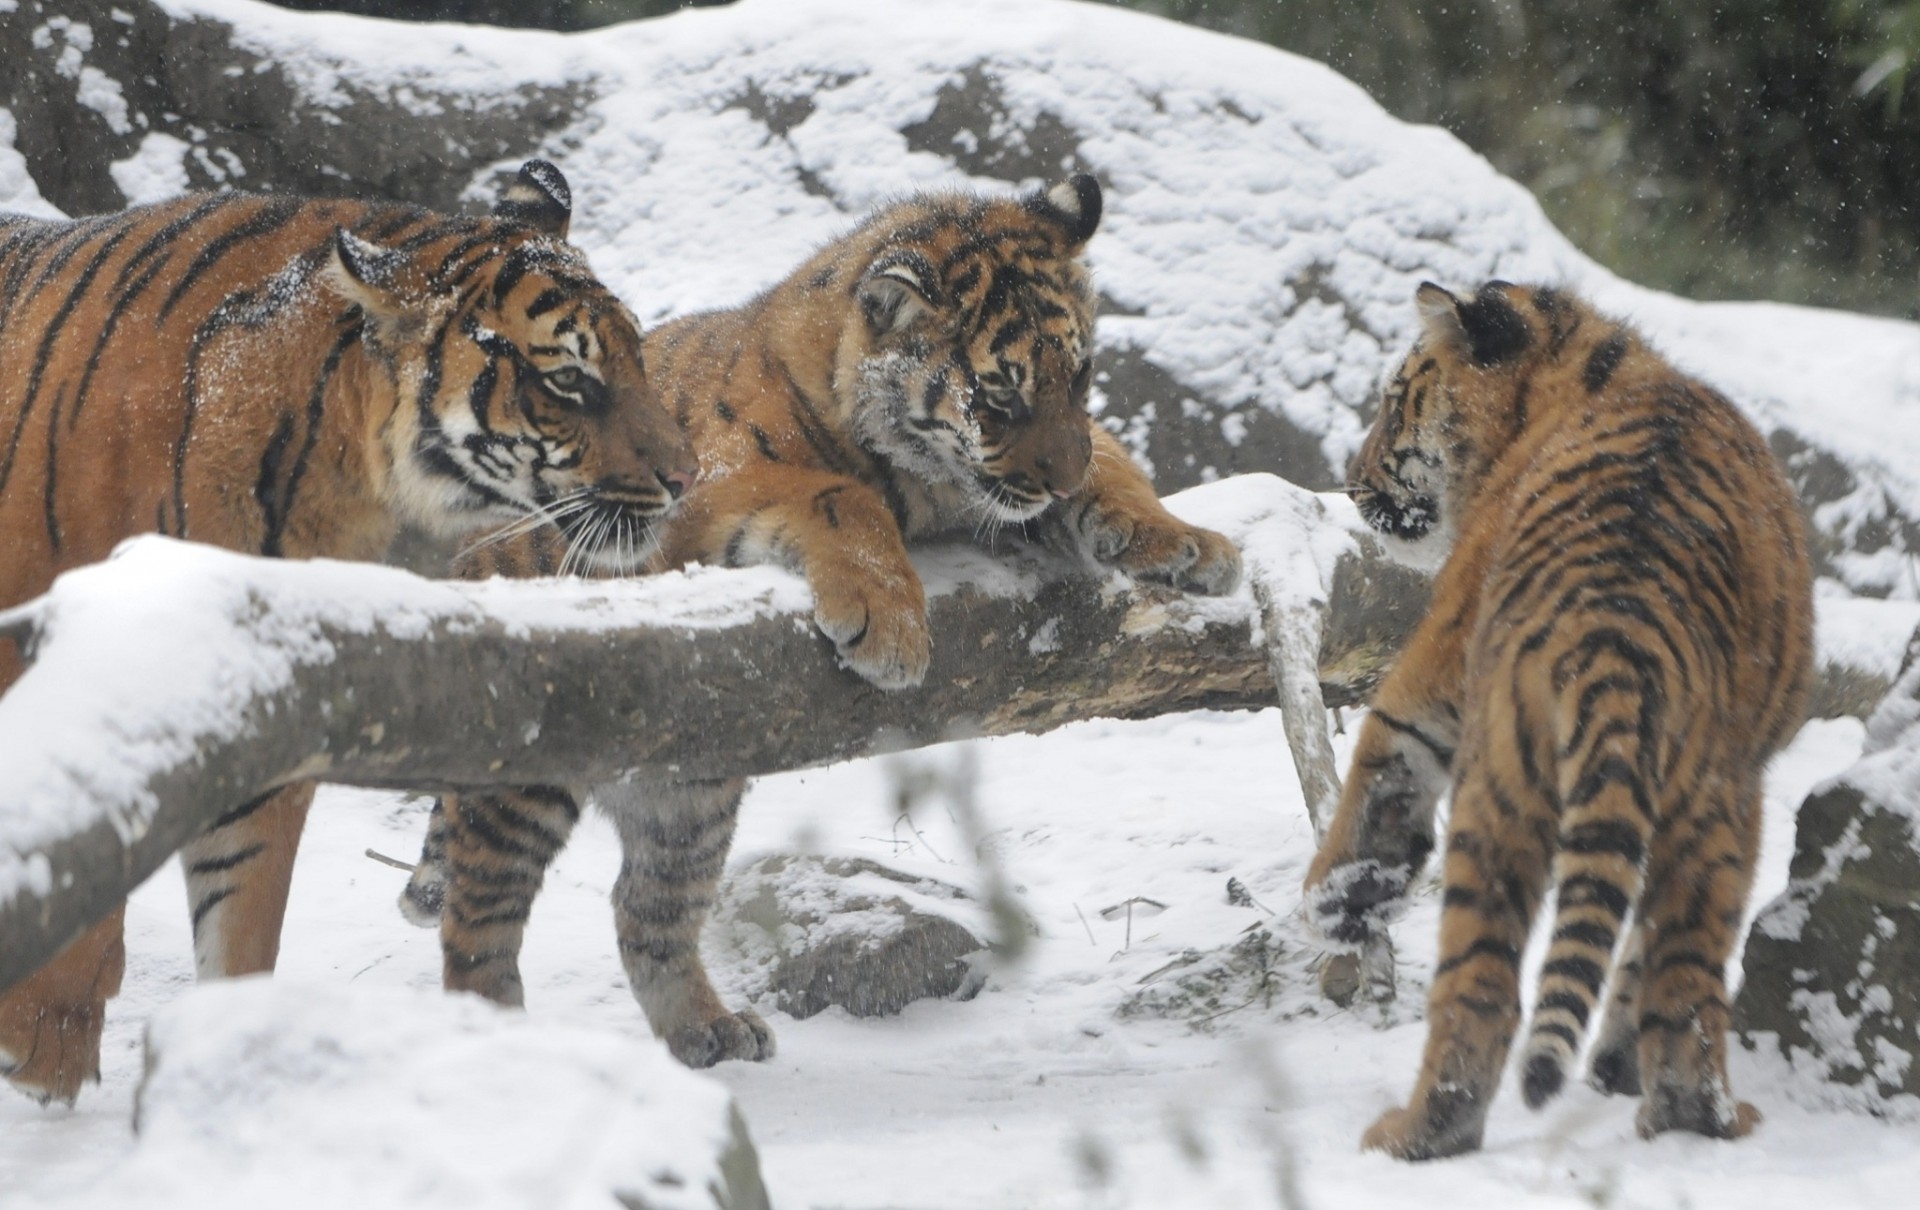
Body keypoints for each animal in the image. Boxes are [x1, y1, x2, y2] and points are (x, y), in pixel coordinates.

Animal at [403, 172, 1244, 1067]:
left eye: (1081, 378)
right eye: (999, 397)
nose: (1057, 482)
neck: (932, 478)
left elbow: (1115, 461)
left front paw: (1188, 543)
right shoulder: (711, 486)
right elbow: (842, 497)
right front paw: (892, 631)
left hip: (691, 800)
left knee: (647, 908)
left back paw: (709, 1028)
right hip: (522, 782)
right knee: (478, 925)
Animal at [1297, 284, 1804, 1167]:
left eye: (1396, 403)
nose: (1351, 482)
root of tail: (1620, 633)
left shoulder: (1437, 662)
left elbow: (1381, 758)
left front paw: (1333, 898)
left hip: (1503, 790)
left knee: (1483, 990)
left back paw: (1417, 1133)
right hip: (1717, 808)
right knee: (1685, 991)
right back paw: (1697, 1120)